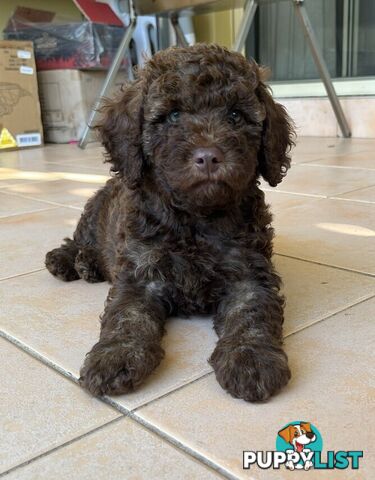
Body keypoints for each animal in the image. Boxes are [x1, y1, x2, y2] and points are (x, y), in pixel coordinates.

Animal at [44, 44, 296, 402]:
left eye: (235, 115)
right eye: (173, 116)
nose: (208, 156)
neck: (195, 219)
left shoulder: (249, 272)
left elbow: (251, 314)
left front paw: (251, 358)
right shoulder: (140, 272)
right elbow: (128, 315)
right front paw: (115, 355)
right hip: (94, 210)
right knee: (80, 239)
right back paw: (70, 260)